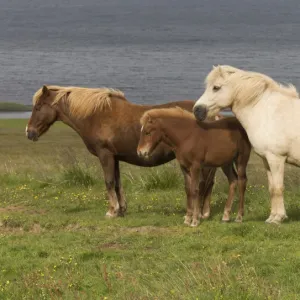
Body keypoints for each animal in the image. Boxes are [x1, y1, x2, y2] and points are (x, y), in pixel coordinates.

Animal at [25, 84, 220, 218]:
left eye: (38, 107)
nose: (29, 132)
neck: (96, 115)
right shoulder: (115, 157)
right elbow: (118, 183)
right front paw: (121, 209)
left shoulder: (105, 155)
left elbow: (109, 182)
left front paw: (112, 211)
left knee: (204, 184)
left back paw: (201, 213)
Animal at [192, 65, 300, 224]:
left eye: (216, 87)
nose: (197, 110)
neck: (267, 112)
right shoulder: (266, 160)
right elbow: (272, 188)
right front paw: (272, 217)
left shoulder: (276, 159)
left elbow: (278, 188)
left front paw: (278, 218)